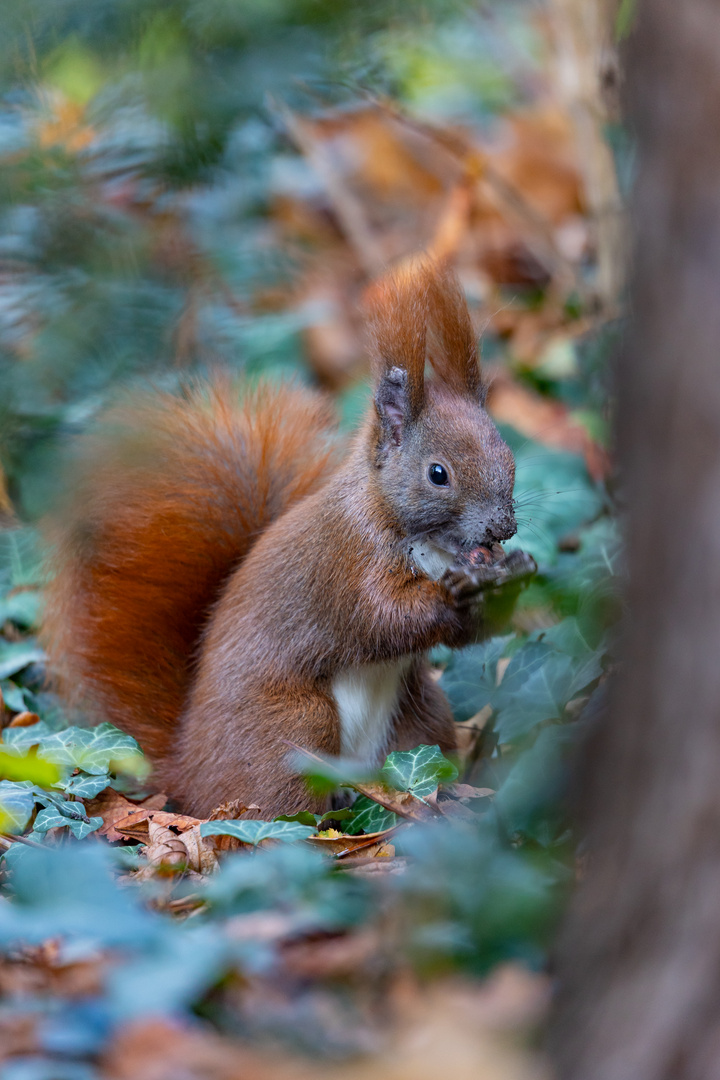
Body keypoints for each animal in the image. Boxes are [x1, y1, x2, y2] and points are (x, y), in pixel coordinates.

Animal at [40, 263, 535, 816]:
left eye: (508, 456)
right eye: (438, 474)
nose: (502, 529)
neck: (431, 545)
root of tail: (187, 770)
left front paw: (515, 572)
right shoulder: (347, 558)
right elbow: (382, 614)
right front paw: (455, 594)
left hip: (421, 719)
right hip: (293, 731)